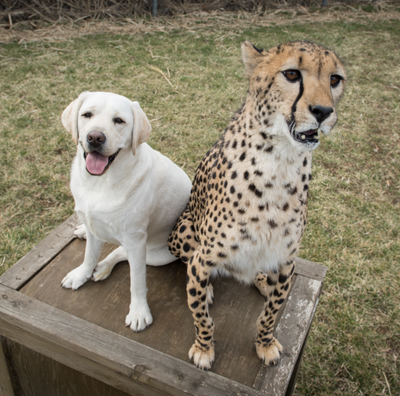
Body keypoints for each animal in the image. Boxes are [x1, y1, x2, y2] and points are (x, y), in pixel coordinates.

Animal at [61, 92, 192, 332]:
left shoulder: (135, 241)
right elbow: (89, 256)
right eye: (87, 115)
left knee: (122, 252)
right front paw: (81, 274)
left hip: (160, 255)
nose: (95, 137)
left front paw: (139, 312)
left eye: (119, 121)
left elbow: (136, 282)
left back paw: (105, 265)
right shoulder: (94, 228)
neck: (100, 183)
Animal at [167, 40, 346, 368]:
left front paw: (265, 343)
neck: (280, 160)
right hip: (183, 231)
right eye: (291, 74)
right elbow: (201, 315)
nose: (323, 111)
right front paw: (203, 347)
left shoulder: (287, 261)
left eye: (335, 79)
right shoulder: (202, 259)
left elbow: (271, 313)